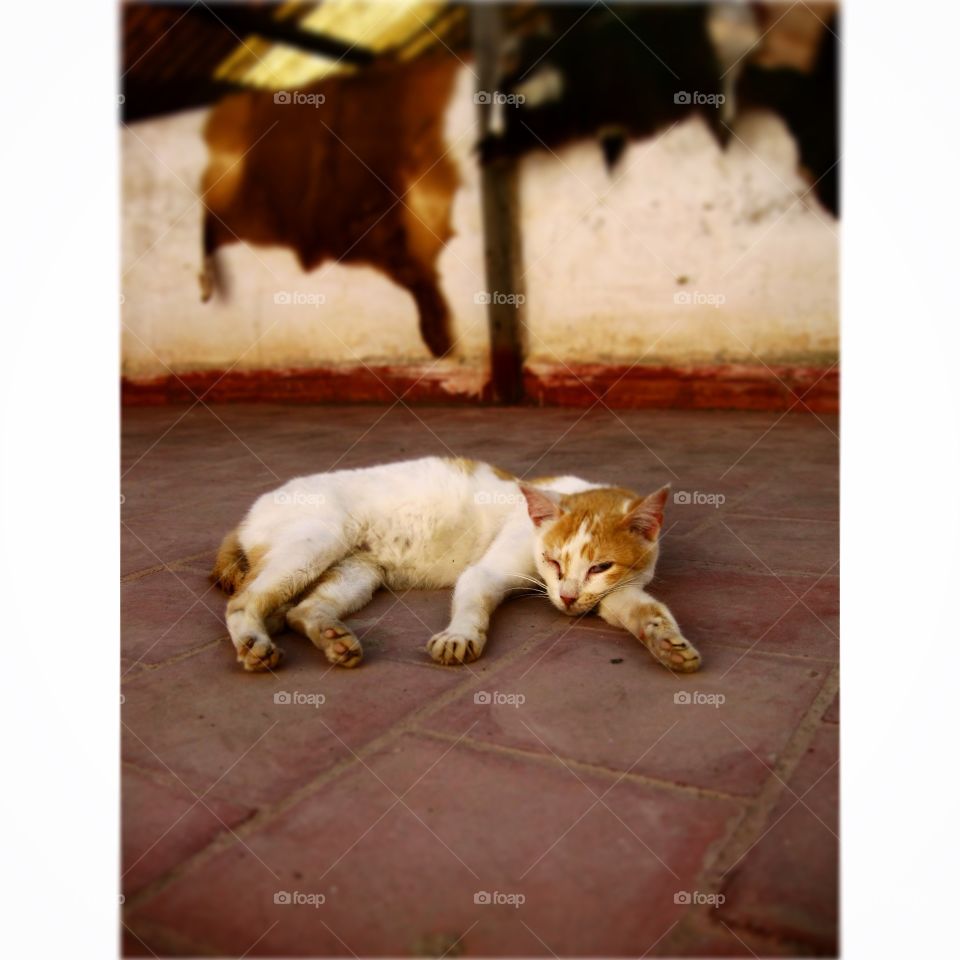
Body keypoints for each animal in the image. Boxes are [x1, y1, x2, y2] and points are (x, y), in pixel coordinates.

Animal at [212, 458, 696, 676]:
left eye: (601, 567)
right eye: (553, 560)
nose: (567, 598)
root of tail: (248, 513)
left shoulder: (614, 592)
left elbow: (646, 611)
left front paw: (669, 644)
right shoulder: (486, 572)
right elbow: (472, 605)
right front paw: (459, 638)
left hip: (357, 571)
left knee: (300, 609)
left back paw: (334, 639)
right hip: (315, 541)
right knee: (243, 601)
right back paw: (255, 644)